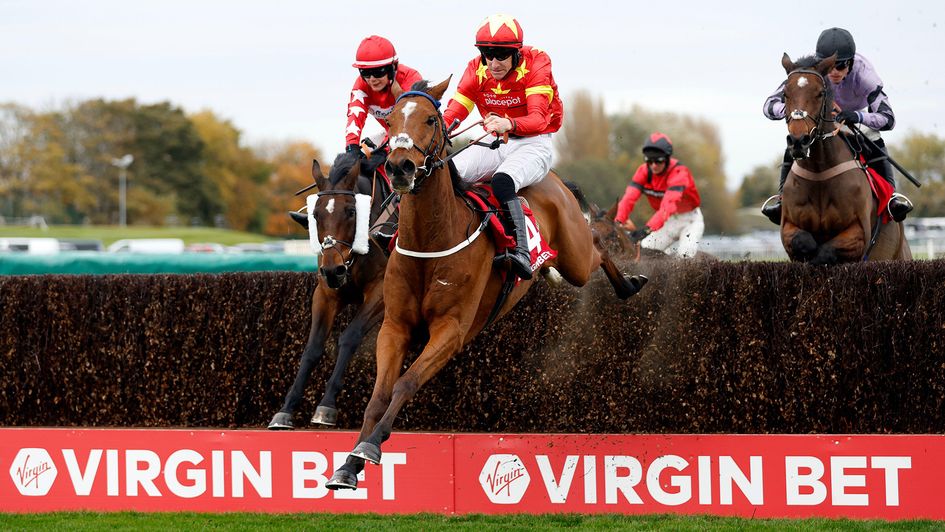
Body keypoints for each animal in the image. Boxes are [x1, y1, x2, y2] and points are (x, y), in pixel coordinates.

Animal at [780, 53, 912, 264]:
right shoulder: (788, 227)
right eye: (785, 94)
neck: (819, 171)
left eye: (820, 93)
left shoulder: (858, 233)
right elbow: (803, 241)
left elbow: (826, 251)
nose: (798, 141)